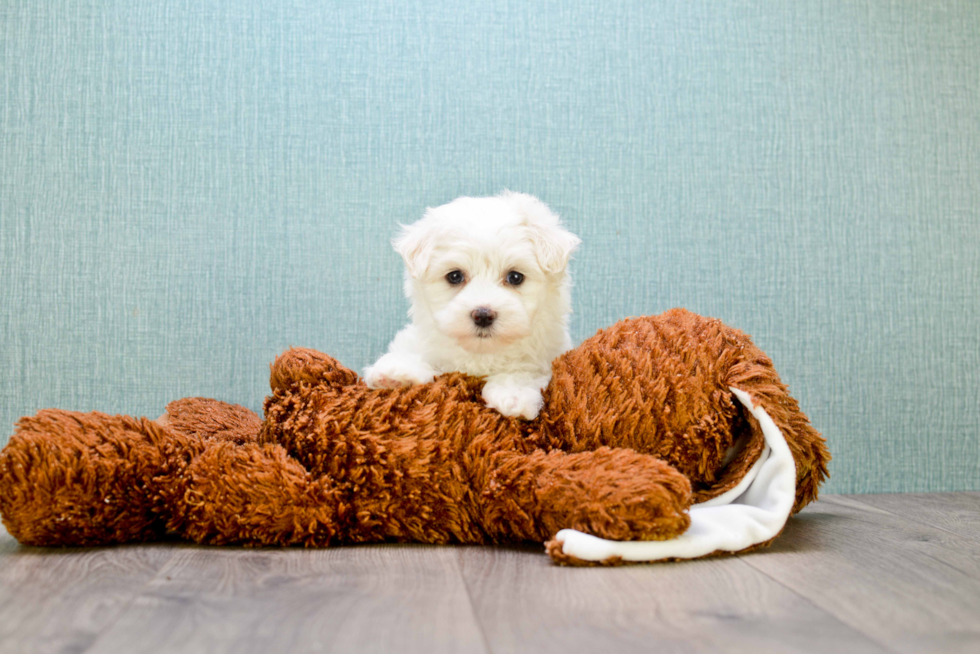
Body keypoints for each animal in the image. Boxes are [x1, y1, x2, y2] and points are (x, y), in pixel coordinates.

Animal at [366, 192, 580, 422]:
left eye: (515, 277)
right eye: (454, 276)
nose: (483, 315)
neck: (480, 355)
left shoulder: (546, 357)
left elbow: (524, 371)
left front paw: (513, 395)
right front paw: (398, 372)